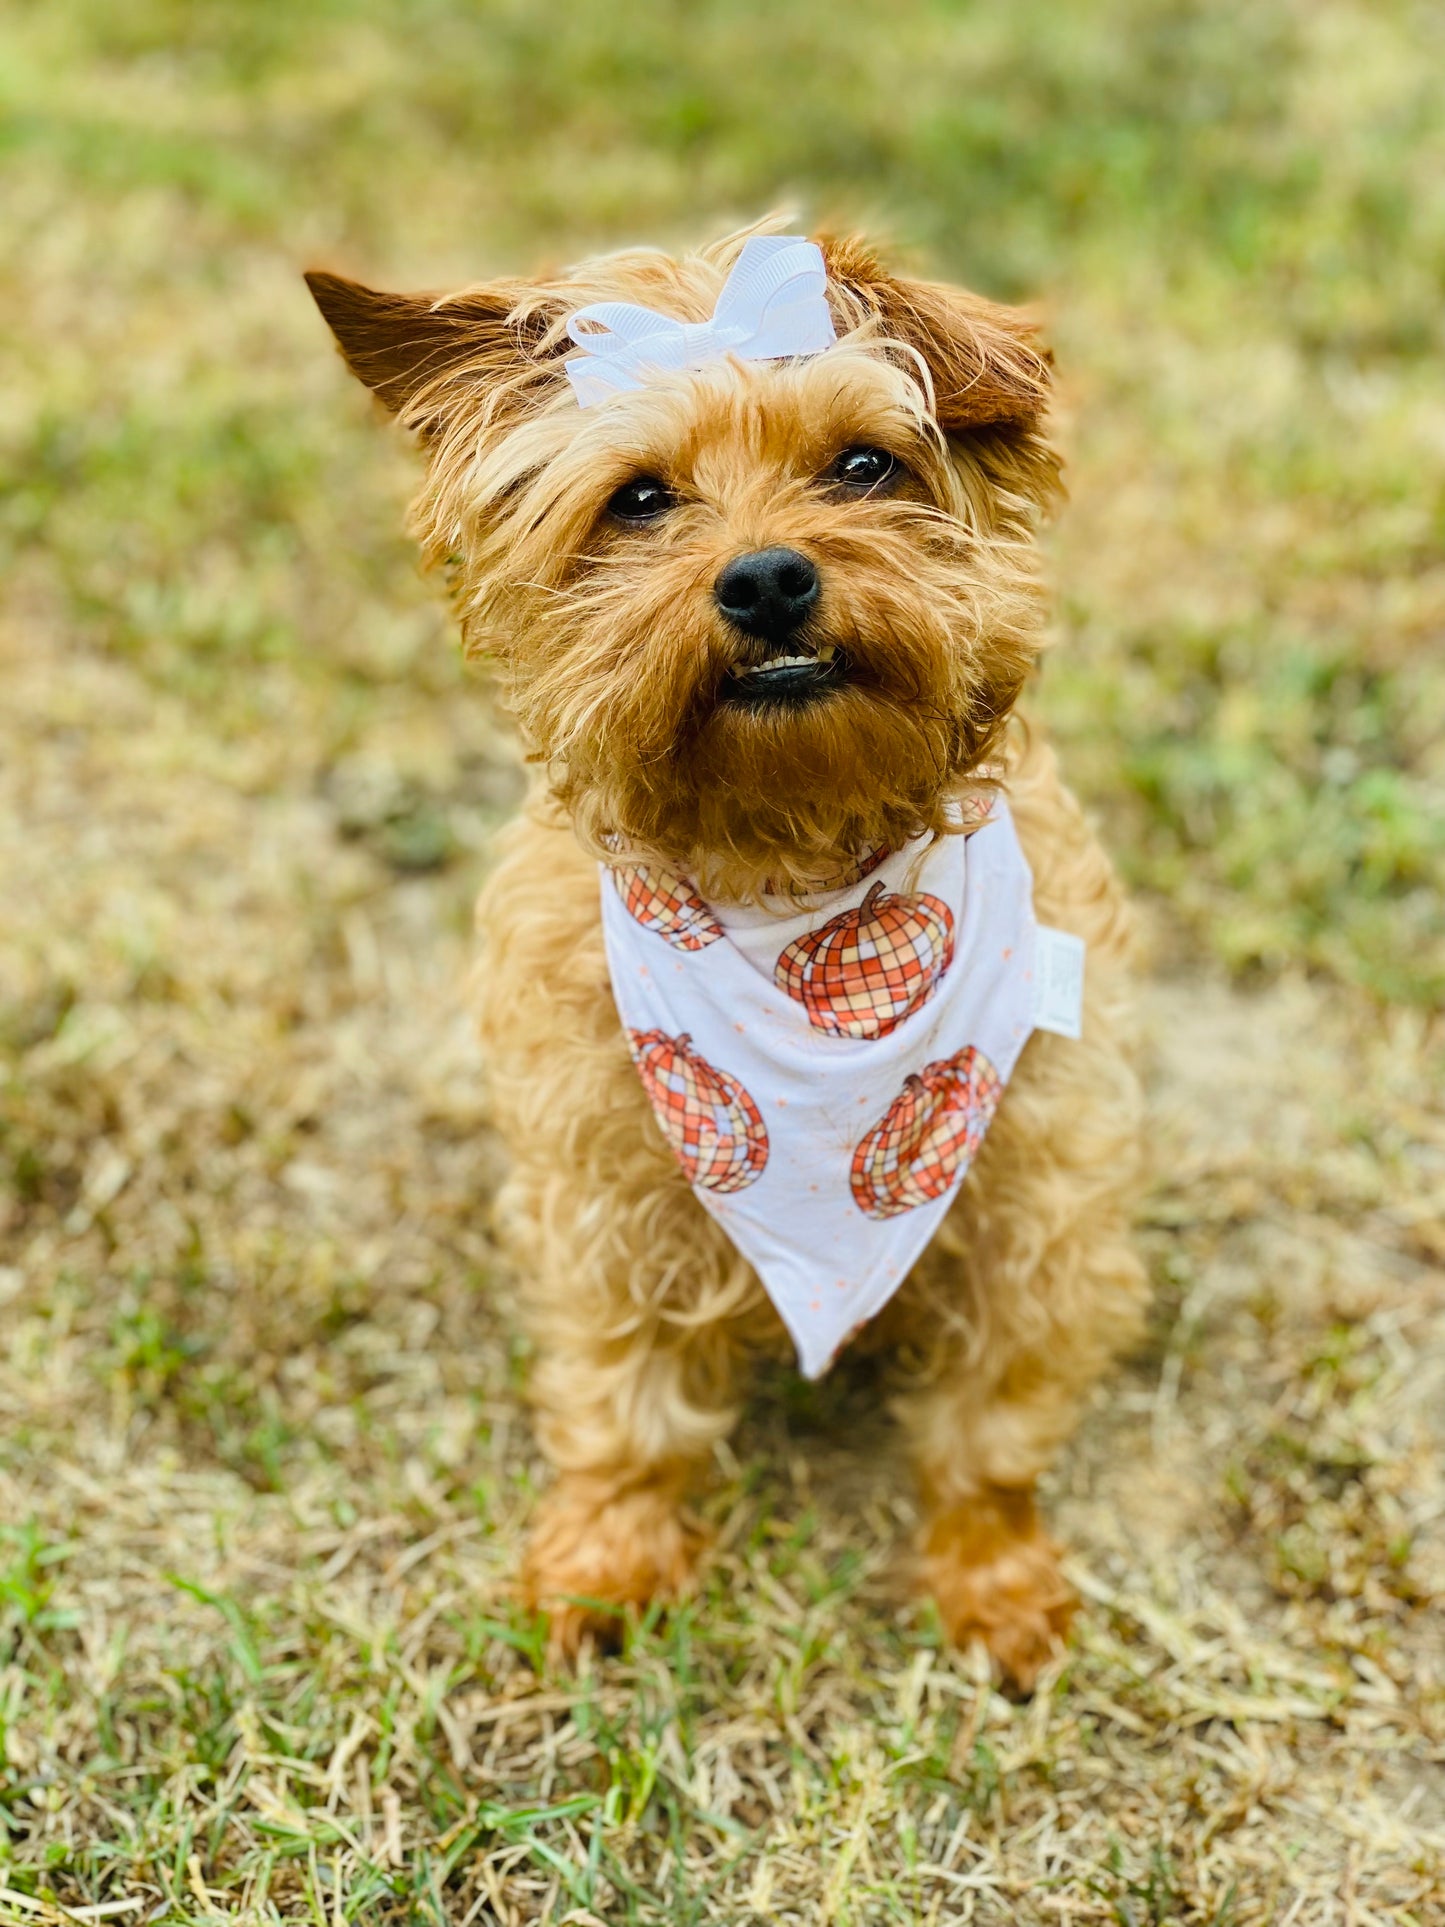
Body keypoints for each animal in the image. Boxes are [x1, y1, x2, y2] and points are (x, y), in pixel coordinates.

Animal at [308, 218, 1156, 1688]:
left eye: (865, 463)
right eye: (640, 499)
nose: (765, 577)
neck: (791, 873)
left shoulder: (1043, 1207)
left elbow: (988, 1420)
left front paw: (990, 1577)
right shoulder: (605, 1192)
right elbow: (624, 1402)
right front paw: (603, 1562)